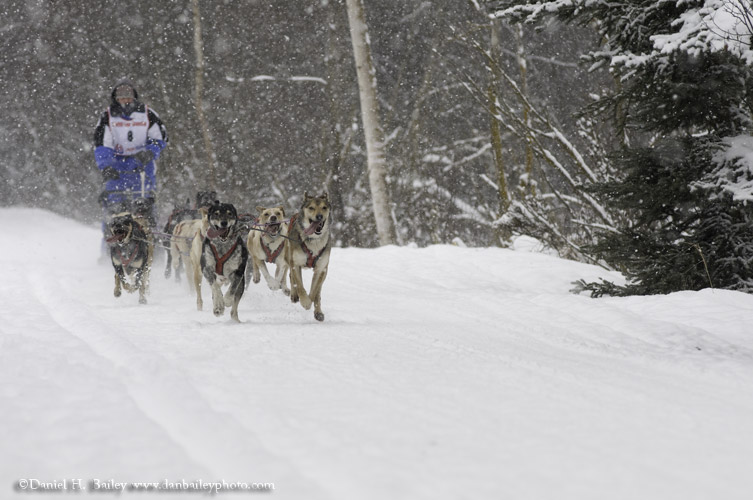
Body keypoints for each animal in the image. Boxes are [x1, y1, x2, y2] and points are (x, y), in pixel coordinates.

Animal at [284, 191, 332, 320]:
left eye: (324, 207)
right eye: (311, 208)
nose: (319, 216)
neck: (314, 241)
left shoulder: (321, 269)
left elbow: (314, 291)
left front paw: (311, 302)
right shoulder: (296, 264)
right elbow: (300, 286)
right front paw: (305, 301)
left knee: (318, 291)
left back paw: (318, 312)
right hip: (289, 257)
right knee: (292, 277)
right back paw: (294, 295)